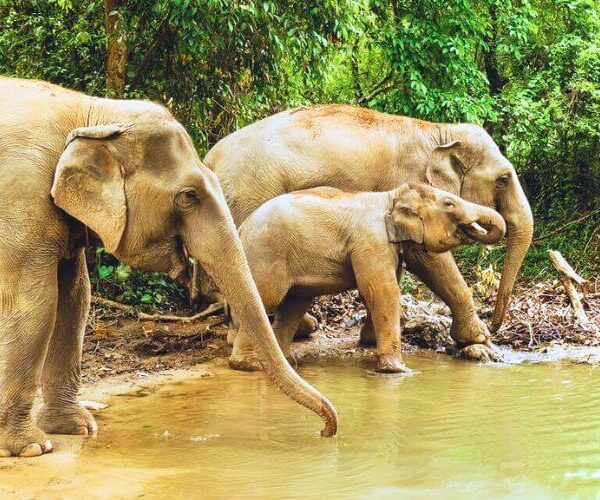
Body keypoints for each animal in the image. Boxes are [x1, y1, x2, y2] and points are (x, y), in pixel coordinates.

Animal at [0, 77, 338, 458]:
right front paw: (31, 447)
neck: (92, 111)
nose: (327, 430)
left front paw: (77, 428)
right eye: (189, 196)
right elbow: (36, 305)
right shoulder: (22, 197)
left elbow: (74, 301)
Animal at [230, 183, 506, 372]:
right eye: (449, 203)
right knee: (265, 299)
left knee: (292, 306)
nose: (493, 330)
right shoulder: (371, 240)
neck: (390, 196)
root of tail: (241, 228)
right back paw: (248, 365)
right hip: (266, 254)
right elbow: (383, 290)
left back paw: (284, 363)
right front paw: (398, 370)